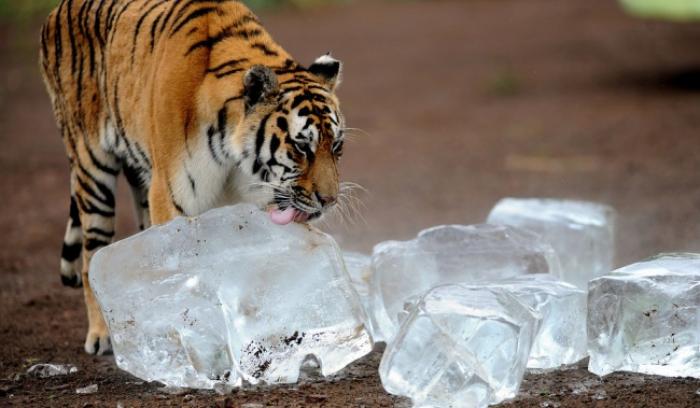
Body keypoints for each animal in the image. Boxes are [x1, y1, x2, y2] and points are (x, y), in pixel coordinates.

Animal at [39, 0, 346, 354]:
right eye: (300, 148)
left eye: (336, 146)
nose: (330, 200)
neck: (234, 157)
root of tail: (56, 11)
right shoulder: (171, 196)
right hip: (92, 169)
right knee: (92, 257)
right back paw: (102, 335)